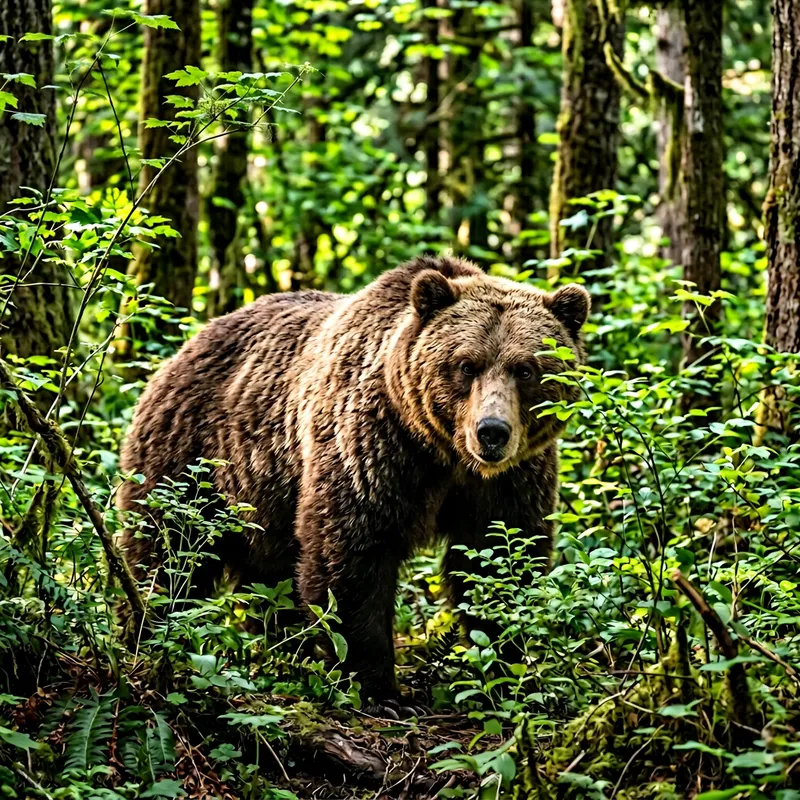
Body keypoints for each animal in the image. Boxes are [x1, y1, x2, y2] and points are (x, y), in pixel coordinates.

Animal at [117, 255, 590, 712]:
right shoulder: (374, 446)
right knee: (168, 554)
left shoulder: (511, 478)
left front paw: (507, 673)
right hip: (191, 461)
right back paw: (149, 634)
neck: (443, 453)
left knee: (269, 580)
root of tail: (185, 347)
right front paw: (382, 692)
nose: (492, 431)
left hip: (263, 501)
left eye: (525, 369)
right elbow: (351, 554)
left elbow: (501, 557)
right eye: (466, 364)